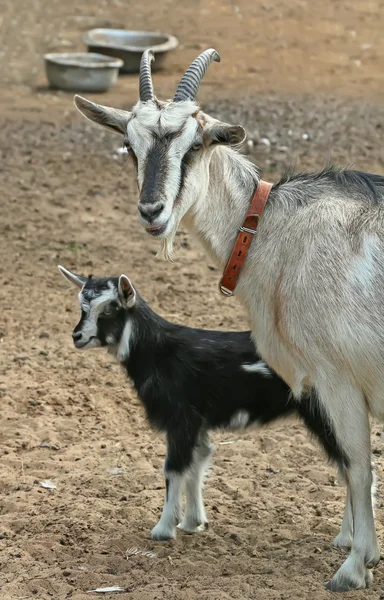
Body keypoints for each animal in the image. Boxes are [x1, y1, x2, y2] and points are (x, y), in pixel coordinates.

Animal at [74, 50, 384, 592]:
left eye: (196, 145)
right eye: (130, 147)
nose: (152, 211)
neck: (270, 232)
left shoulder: (338, 377)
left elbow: (358, 467)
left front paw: (353, 567)